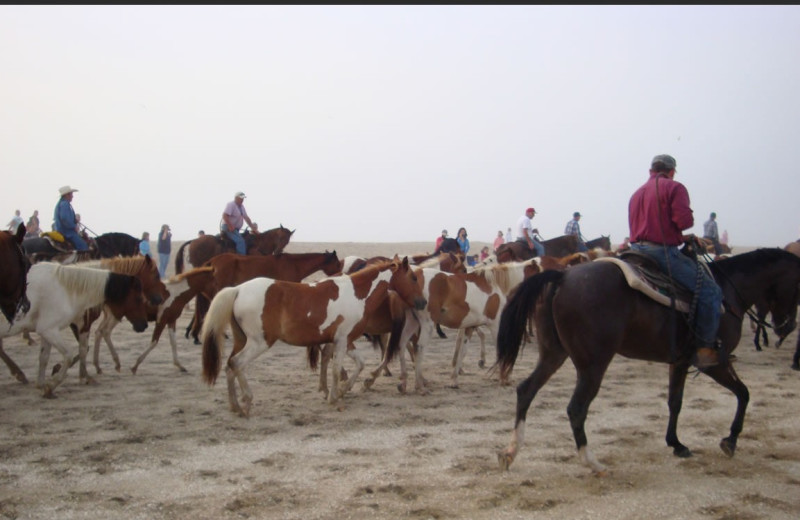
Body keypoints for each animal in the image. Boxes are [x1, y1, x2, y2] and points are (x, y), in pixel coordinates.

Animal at [202, 254, 424, 416]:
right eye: (413, 278)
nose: (422, 302)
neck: (357, 294)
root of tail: (238, 290)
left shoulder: (341, 340)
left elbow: (356, 364)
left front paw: (340, 390)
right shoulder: (342, 340)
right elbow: (336, 369)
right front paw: (336, 398)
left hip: (241, 340)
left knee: (229, 366)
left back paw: (235, 406)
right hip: (259, 342)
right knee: (237, 363)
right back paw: (247, 402)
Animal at [494, 248, 800, 476]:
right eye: (797, 290)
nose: (787, 327)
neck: (728, 293)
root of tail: (562, 277)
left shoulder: (680, 362)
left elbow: (675, 401)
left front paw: (676, 443)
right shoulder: (715, 363)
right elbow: (744, 394)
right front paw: (731, 440)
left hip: (554, 354)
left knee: (526, 390)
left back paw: (511, 451)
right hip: (593, 365)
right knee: (576, 409)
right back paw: (592, 463)